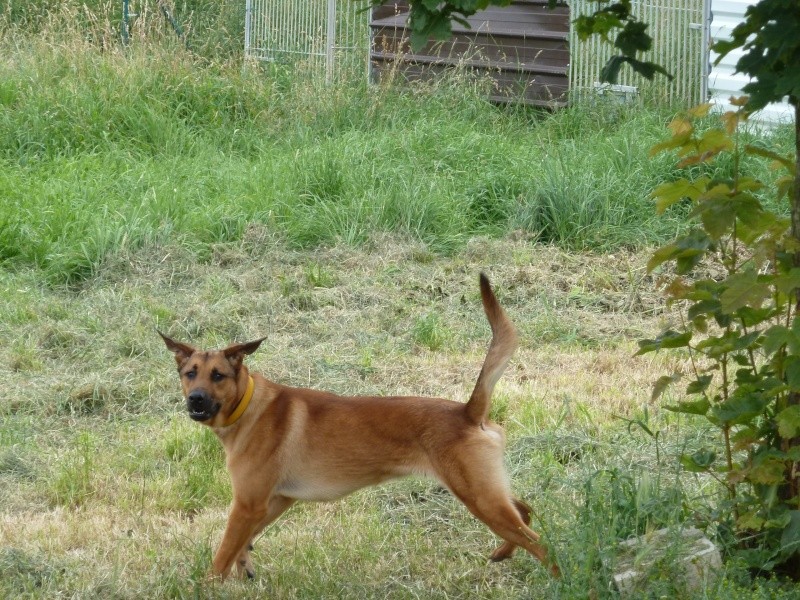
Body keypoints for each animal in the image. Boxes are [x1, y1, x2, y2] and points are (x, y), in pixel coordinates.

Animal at [156, 274, 556, 580]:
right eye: (190, 373)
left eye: (218, 376)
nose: (196, 400)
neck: (249, 406)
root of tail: (468, 412)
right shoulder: (273, 501)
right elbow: (241, 543)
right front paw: (245, 566)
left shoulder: (248, 504)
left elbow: (222, 553)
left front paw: (210, 584)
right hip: (487, 492)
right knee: (525, 511)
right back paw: (503, 552)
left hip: (480, 497)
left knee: (541, 543)